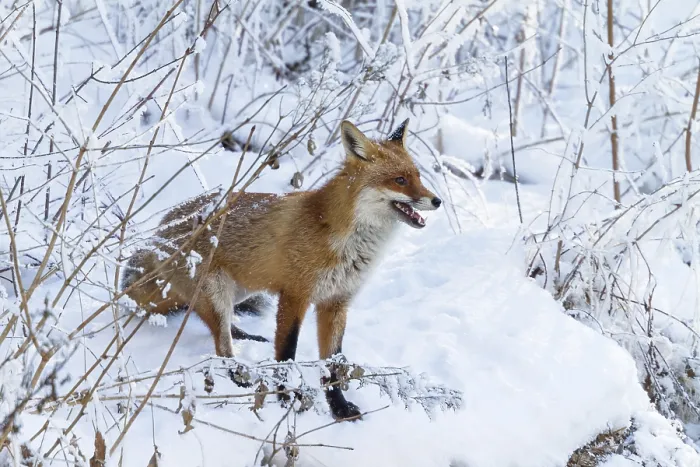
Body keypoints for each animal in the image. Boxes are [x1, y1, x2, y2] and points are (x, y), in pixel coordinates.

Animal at [121, 119, 442, 420]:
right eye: (399, 180)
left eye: (418, 176)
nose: (437, 200)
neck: (343, 239)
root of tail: (161, 229)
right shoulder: (294, 296)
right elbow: (287, 354)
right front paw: (287, 399)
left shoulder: (337, 302)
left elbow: (334, 366)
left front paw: (339, 409)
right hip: (216, 292)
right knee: (221, 347)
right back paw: (238, 374)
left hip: (239, 290)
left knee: (211, 321)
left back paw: (246, 336)